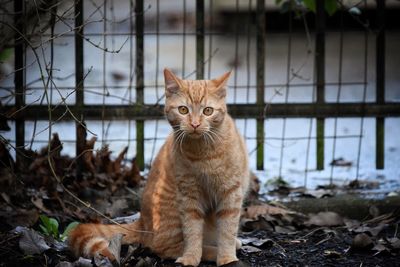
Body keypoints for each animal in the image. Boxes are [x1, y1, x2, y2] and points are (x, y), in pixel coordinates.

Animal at [69, 69, 250, 267]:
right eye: (183, 110)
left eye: (207, 111)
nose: (195, 124)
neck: (203, 153)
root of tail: (141, 221)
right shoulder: (188, 195)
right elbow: (192, 232)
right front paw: (191, 257)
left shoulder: (231, 193)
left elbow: (227, 230)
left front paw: (226, 258)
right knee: (163, 247)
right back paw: (208, 251)